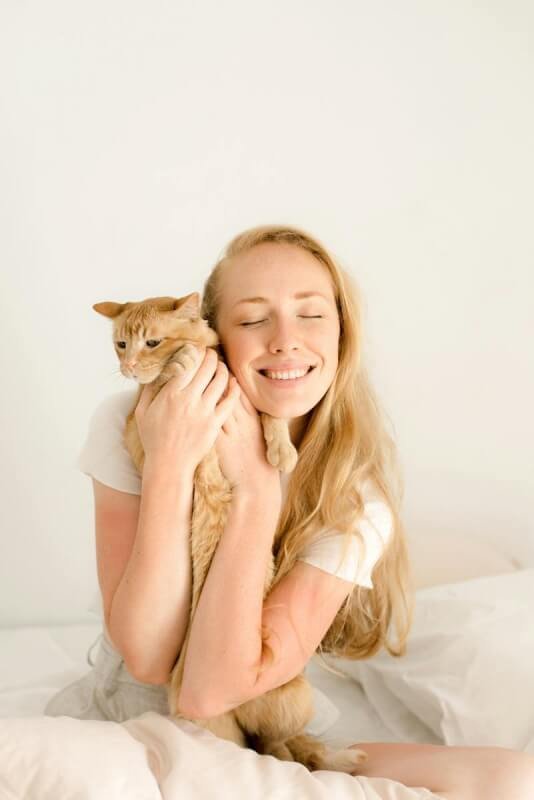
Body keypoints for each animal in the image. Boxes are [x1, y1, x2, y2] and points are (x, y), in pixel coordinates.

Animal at [93, 294, 368, 776]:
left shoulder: (248, 400)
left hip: (295, 698)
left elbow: (272, 414)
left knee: (289, 745)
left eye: (151, 342)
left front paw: (281, 452)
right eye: (120, 345)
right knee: (267, 750)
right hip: (213, 724)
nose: (127, 368)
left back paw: (337, 757)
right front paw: (180, 366)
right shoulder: (140, 436)